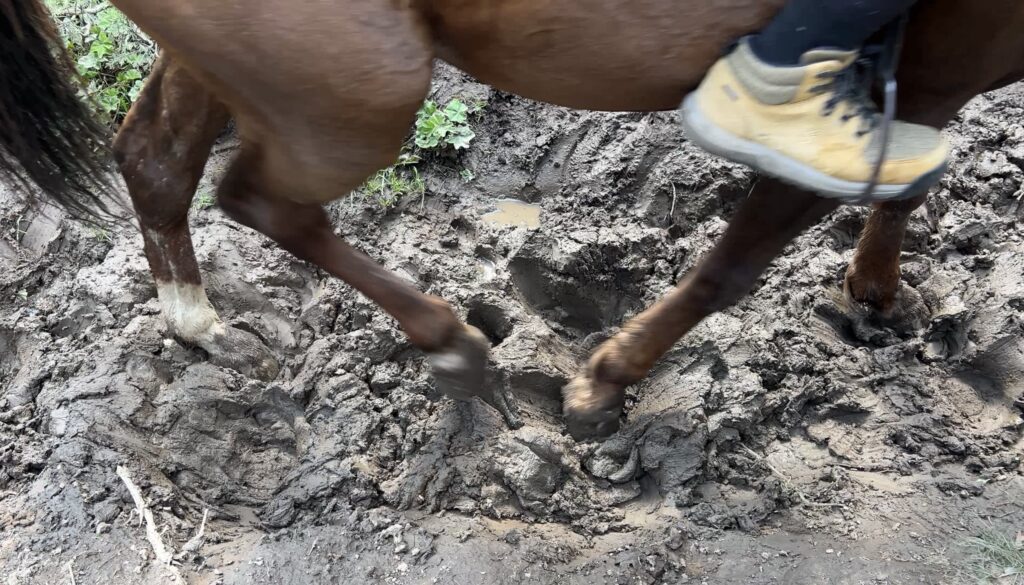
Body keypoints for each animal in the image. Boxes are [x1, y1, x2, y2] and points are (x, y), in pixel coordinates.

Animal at [4, 0, 1024, 441]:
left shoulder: (930, 77)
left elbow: (905, 184)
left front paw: (877, 290)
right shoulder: (900, 75)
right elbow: (736, 262)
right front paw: (602, 382)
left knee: (156, 158)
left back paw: (198, 321)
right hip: (355, 79)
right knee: (257, 196)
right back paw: (450, 338)